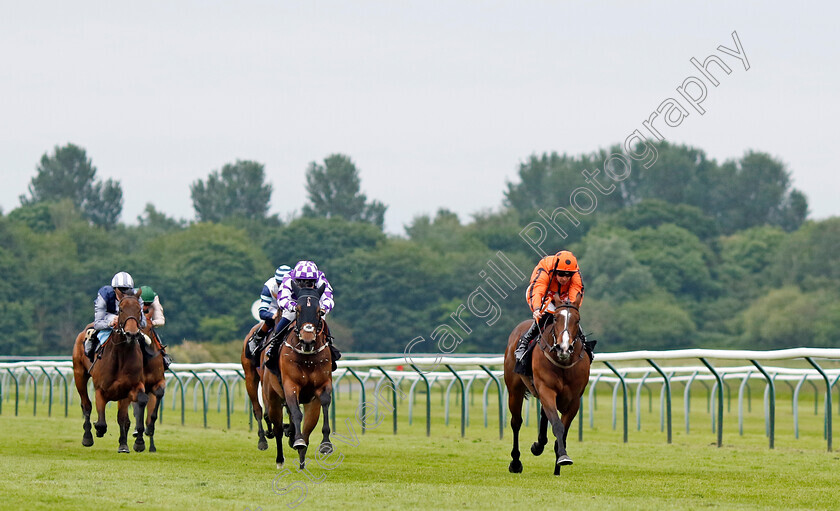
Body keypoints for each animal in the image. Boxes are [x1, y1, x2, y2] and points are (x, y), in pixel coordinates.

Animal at [72, 290, 148, 454]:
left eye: (139, 310)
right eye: (121, 310)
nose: (132, 333)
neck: (121, 355)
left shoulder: (128, 389)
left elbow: (124, 417)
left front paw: (127, 443)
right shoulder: (100, 390)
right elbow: (101, 422)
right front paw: (98, 430)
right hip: (79, 374)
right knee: (86, 405)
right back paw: (87, 437)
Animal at [260, 282, 334, 470]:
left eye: (319, 311)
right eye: (298, 310)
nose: (307, 341)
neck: (307, 356)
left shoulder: (323, 385)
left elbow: (324, 403)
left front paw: (326, 444)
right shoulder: (290, 385)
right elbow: (295, 413)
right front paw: (296, 440)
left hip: (310, 404)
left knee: (307, 429)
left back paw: (301, 461)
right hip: (272, 397)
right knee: (278, 428)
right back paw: (280, 458)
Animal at [506, 296, 592, 476]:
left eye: (577, 320)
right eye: (556, 318)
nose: (564, 348)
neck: (563, 363)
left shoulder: (574, 400)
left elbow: (563, 430)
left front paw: (559, 464)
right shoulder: (546, 390)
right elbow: (558, 425)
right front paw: (562, 457)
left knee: (544, 415)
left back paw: (538, 445)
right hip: (514, 390)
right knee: (516, 422)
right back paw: (516, 463)